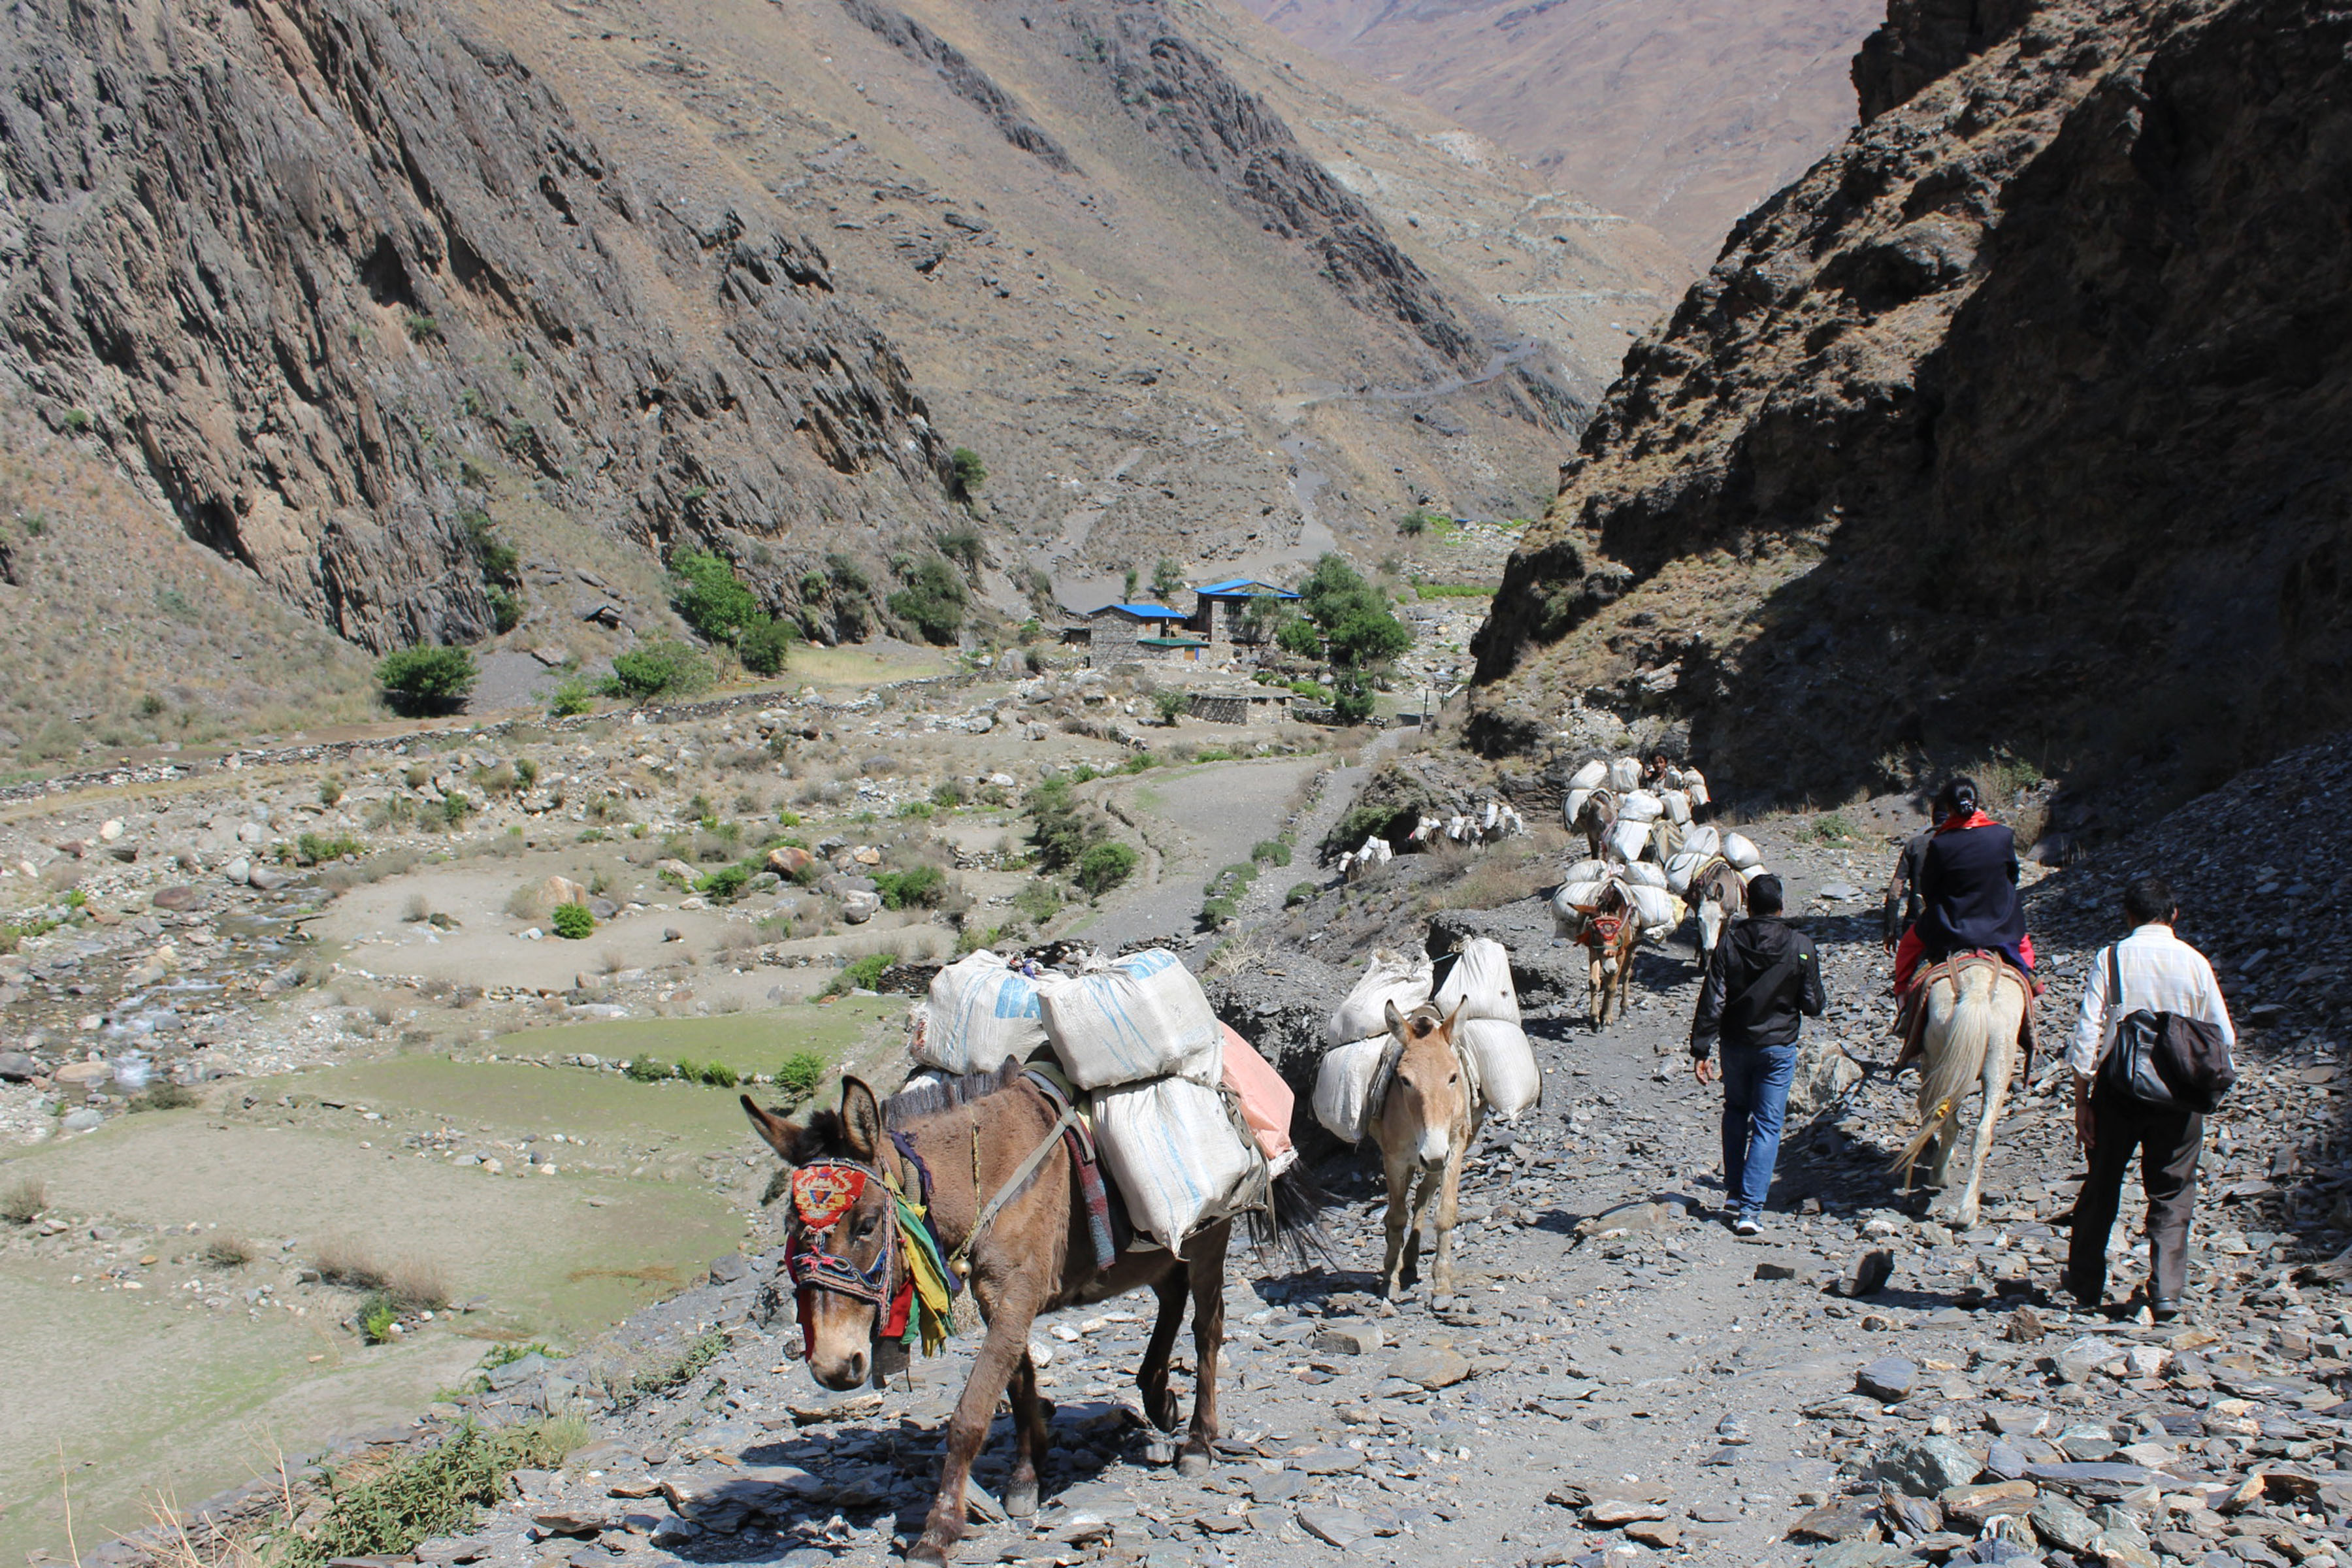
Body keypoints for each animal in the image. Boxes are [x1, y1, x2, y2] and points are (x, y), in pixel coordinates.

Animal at [1882, 949, 2032, 1232]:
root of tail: (1976, 991)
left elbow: (1926, 1108)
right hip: (1999, 1060)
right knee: (1982, 1131)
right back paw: (1968, 1213)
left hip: (1942, 1060)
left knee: (1946, 1119)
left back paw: (1940, 1175)